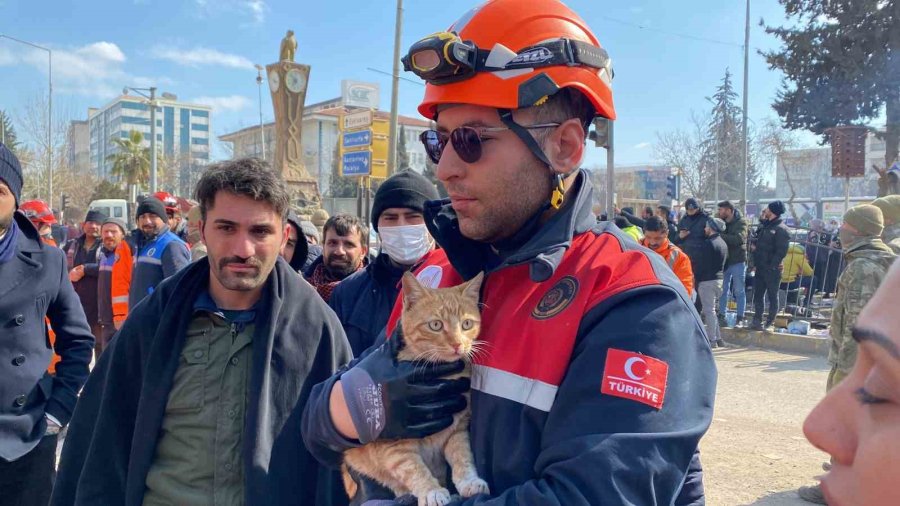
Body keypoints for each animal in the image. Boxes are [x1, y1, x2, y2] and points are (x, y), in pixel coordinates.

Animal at [342, 270, 488, 504]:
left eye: (467, 324)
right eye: (436, 325)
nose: (458, 344)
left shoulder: (457, 428)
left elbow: (462, 456)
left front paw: (469, 481)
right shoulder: (395, 447)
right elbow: (413, 469)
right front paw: (431, 491)